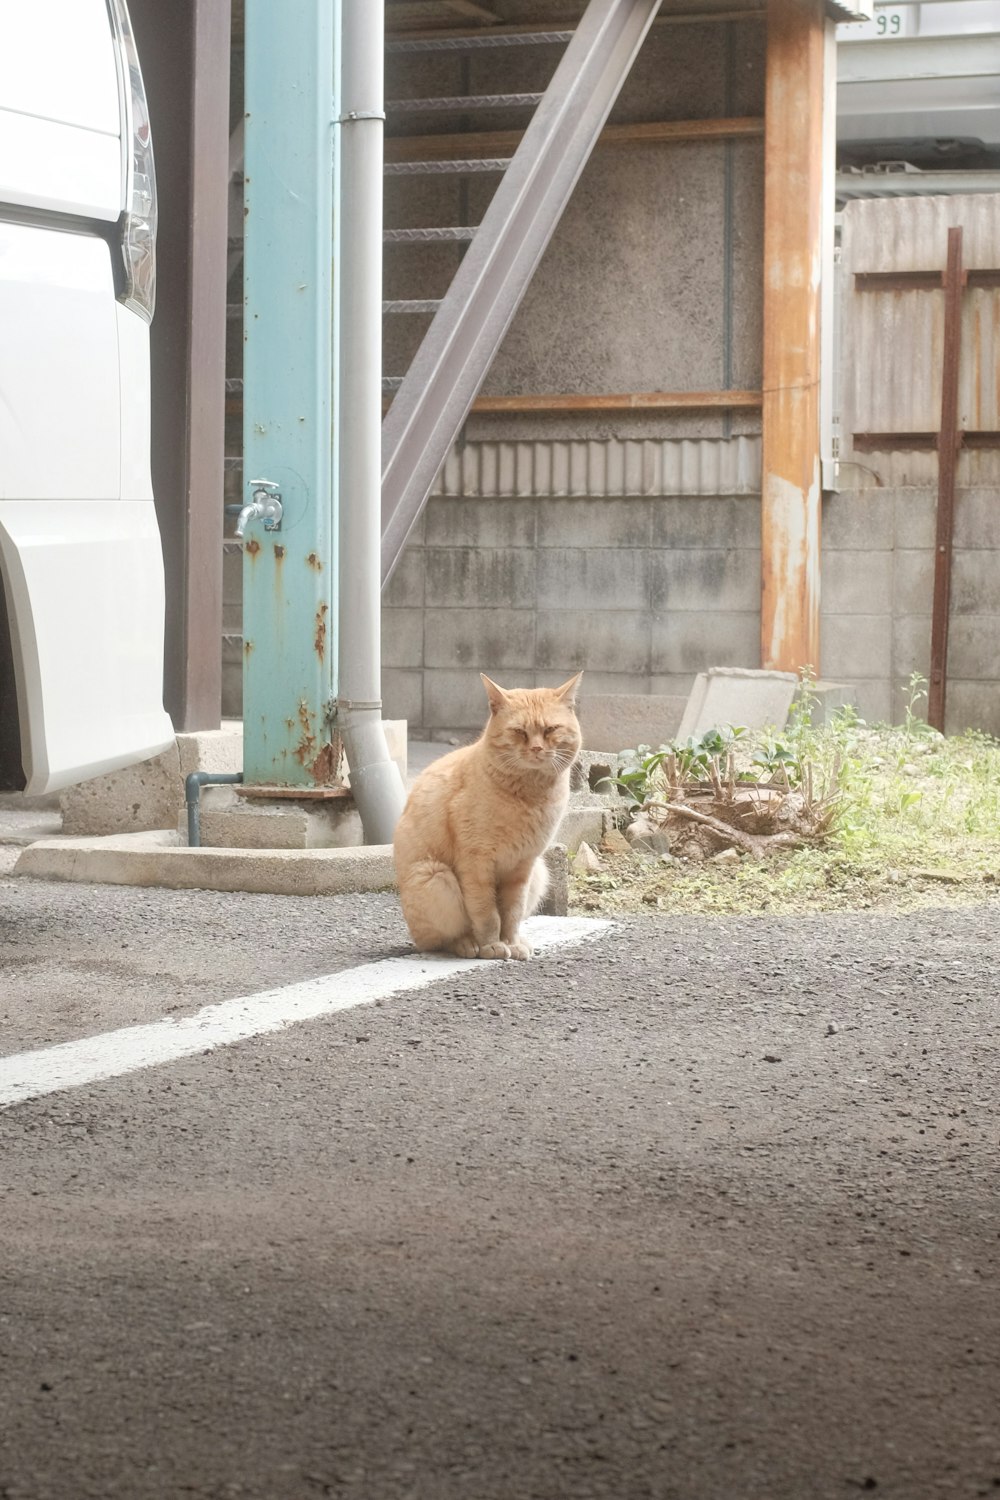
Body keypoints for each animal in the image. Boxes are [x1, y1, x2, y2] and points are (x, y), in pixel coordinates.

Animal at [395, 672, 581, 954]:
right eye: (519, 732)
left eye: (550, 729)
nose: (537, 749)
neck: (529, 796)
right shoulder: (476, 863)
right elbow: (486, 912)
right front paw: (492, 945)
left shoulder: (523, 866)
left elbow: (512, 912)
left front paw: (512, 943)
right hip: (434, 876)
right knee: (439, 941)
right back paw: (467, 945)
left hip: (540, 871)